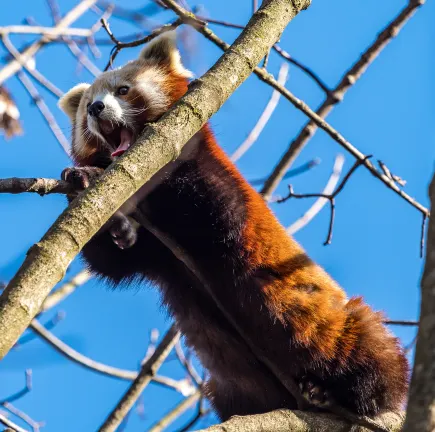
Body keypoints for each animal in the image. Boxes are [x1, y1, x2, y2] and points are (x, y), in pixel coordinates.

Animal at [59, 33, 410, 418]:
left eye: (123, 90)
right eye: (88, 105)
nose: (97, 109)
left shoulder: (212, 179)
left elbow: (213, 216)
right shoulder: (159, 258)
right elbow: (111, 262)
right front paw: (91, 191)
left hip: (343, 327)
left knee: (372, 347)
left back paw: (346, 392)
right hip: (232, 389)